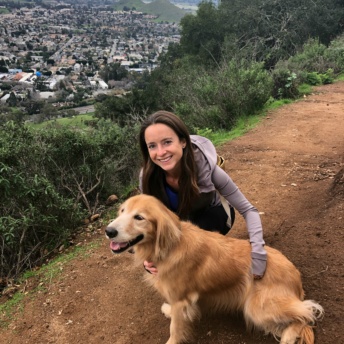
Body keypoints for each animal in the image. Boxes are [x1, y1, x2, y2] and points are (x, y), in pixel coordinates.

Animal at [106, 195, 324, 344]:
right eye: (122, 211)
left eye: (139, 217)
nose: (109, 231)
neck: (170, 247)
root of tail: (296, 275)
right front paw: (167, 310)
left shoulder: (181, 300)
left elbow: (175, 328)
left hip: (257, 307)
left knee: (307, 312)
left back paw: (288, 335)